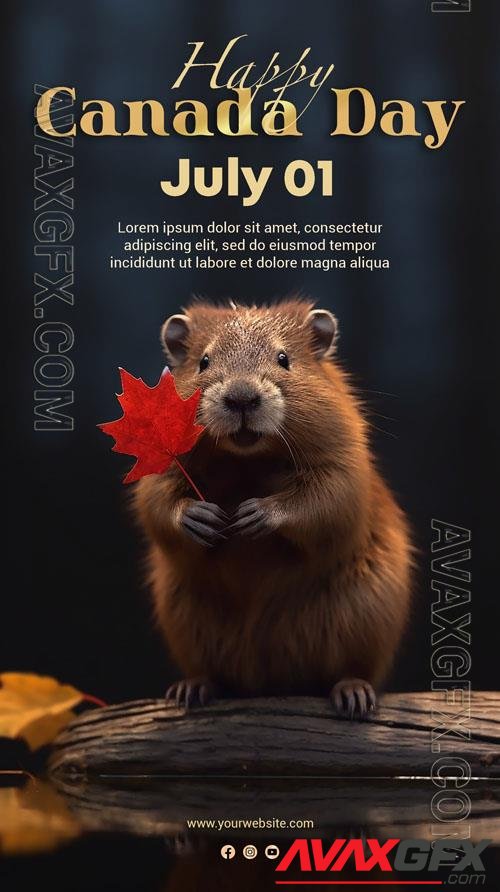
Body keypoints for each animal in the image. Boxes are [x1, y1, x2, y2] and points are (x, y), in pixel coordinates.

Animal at [135, 298, 412, 716]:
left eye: (284, 358)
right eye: (203, 361)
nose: (242, 398)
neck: (248, 459)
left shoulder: (343, 459)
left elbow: (329, 500)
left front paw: (254, 514)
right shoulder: (160, 466)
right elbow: (157, 501)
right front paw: (204, 518)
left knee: (352, 670)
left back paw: (353, 696)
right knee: (209, 672)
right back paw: (191, 690)